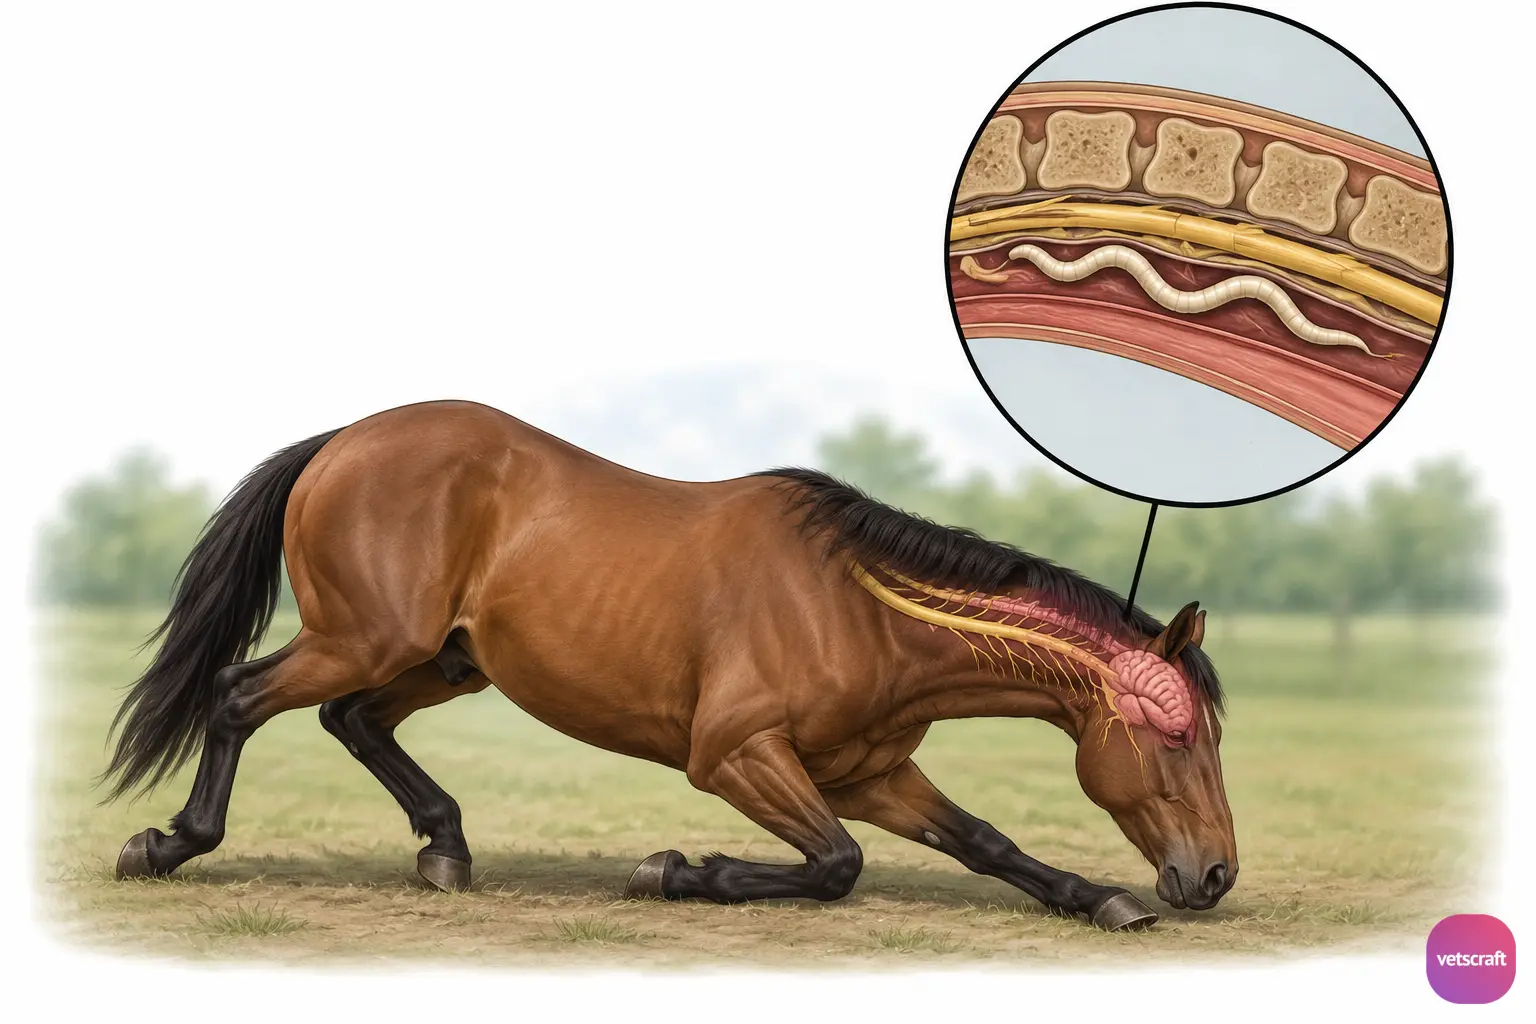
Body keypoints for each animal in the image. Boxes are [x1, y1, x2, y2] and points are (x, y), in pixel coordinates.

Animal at [105, 399, 1236, 931]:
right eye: (1180, 735)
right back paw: (167, 844)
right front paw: (675, 869)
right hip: (361, 638)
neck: (857, 608)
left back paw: (446, 849)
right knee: (239, 696)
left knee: (354, 721)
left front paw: (1102, 898)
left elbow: (987, 842)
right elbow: (838, 865)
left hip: (446, 660)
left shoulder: (869, 773)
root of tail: (344, 440)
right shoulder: (736, 754)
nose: (1216, 875)